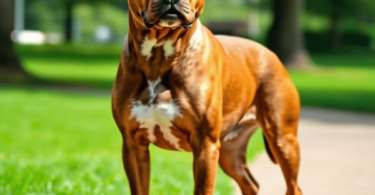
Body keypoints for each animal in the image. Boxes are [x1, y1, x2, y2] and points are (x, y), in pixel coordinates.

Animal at [111, 0, 302, 194]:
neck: (158, 57)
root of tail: (272, 54)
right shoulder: (133, 144)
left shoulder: (205, 145)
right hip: (230, 153)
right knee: (250, 184)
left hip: (283, 140)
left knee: (293, 186)